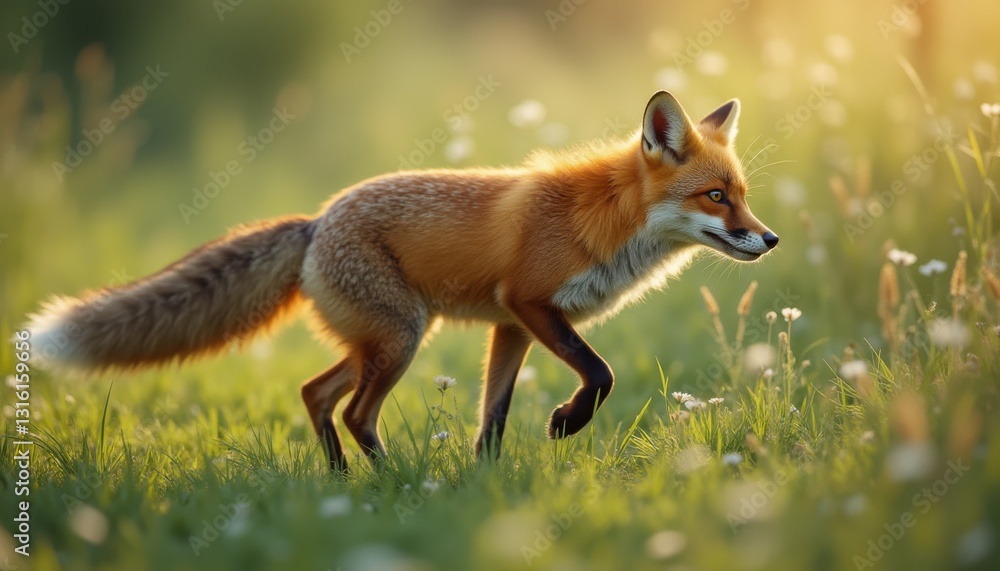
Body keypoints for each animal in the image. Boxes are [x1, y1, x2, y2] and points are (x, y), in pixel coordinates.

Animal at [26, 91, 778, 472]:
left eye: (741, 195)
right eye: (715, 197)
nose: (769, 239)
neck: (605, 219)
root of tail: (316, 221)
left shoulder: (511, 325)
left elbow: (491, 418)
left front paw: (486, 488)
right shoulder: (530, 303)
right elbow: (601, 373)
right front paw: (566, 422)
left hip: (381, 340)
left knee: (315, 393)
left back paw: (342, 481)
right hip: (401, 340)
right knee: (355, 411)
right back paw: (390, 486)